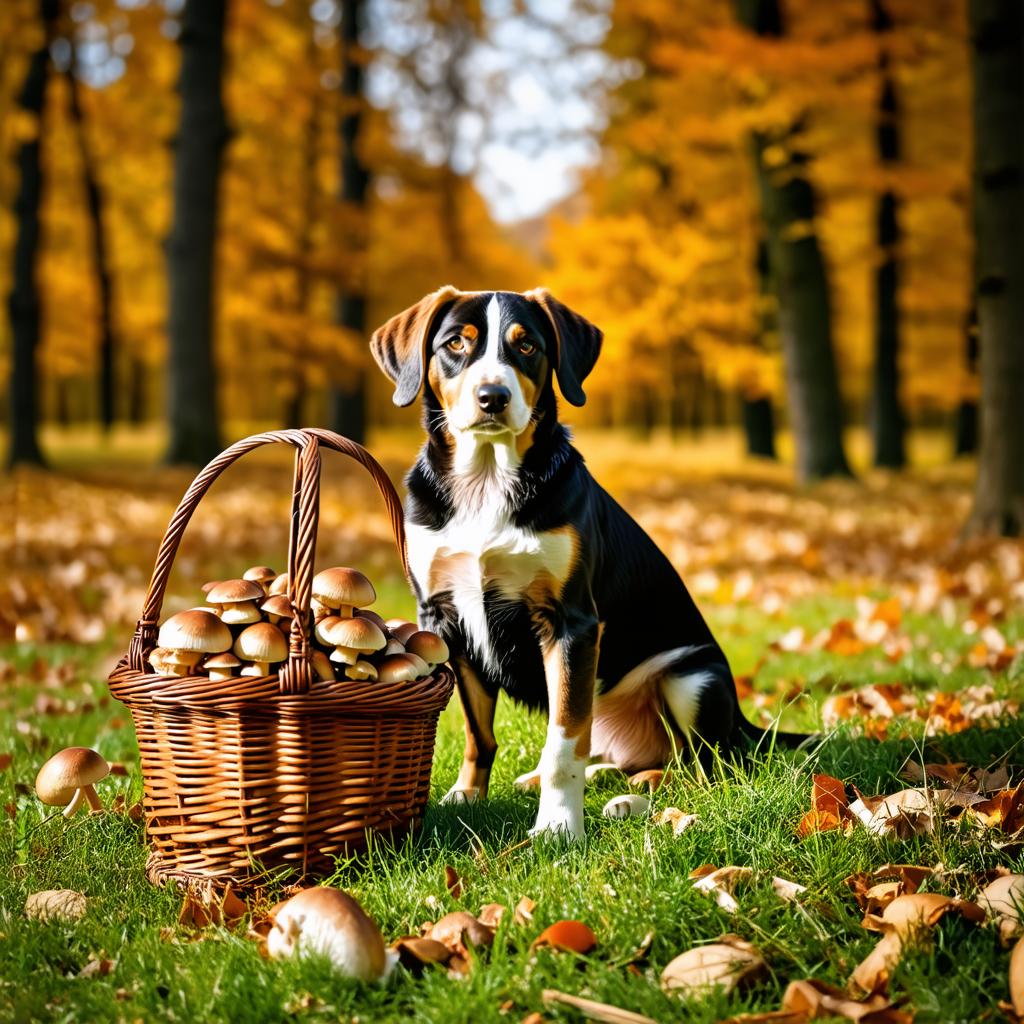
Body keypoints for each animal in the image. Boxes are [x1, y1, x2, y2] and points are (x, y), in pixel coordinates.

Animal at [372, 286, 794, 839]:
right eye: (456, 344)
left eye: (527, 345)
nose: (492, 397)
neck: (485, 483)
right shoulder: (444, 618)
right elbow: (477, 731)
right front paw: (466, 794)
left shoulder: (570, 622)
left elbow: (563, 742)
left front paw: (558, 825)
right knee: (623, 754)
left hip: (692, 680)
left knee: (704, 769)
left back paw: (633, 800)